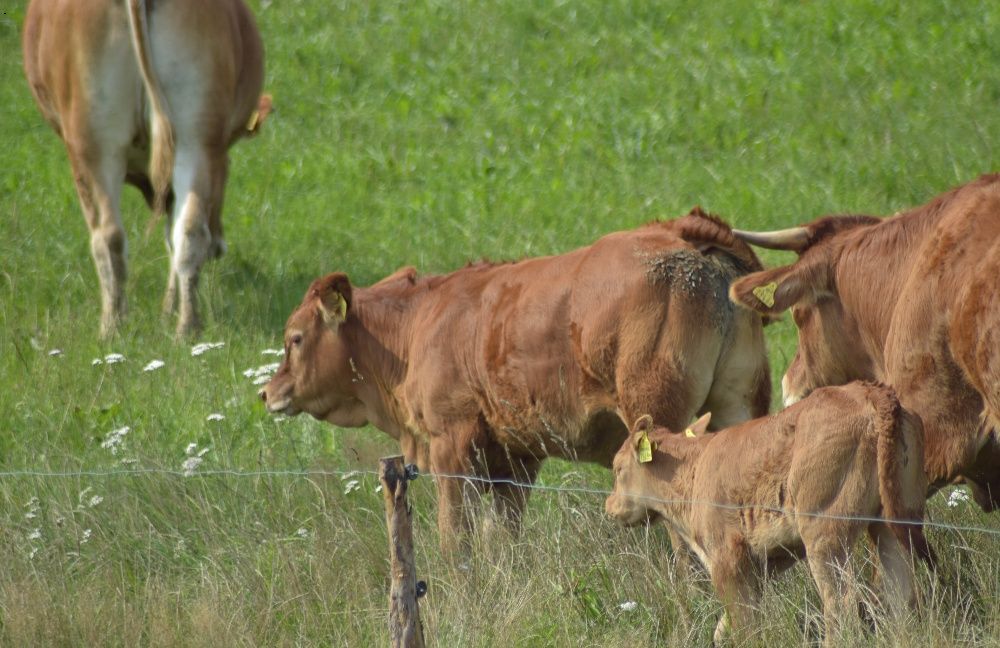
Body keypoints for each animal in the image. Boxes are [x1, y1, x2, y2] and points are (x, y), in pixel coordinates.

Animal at [23, 0, 272, 336]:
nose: (221, 245)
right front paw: (168, 310)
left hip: (94, 143)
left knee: (109, 236)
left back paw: (113, 328)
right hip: (194, 136)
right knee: (184, 231)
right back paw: (184, 327)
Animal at [260, 209, 772, 552]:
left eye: (295, 338)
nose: (266, 392)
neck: (420, 324)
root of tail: (681, 234)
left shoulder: (452, 447)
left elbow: (456, 539)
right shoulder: (515, 461)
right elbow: (503, 539)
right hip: (738, 406)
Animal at [604, 382, 932, 644]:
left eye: (618, 468)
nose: (609, 506)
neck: (692, 469)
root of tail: (869, 392)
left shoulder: (727, 558)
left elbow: (744, 624)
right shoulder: (760, 566)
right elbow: (729, 625)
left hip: (825, 535)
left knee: (842, 604)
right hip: (891, 524)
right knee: (901, 593)